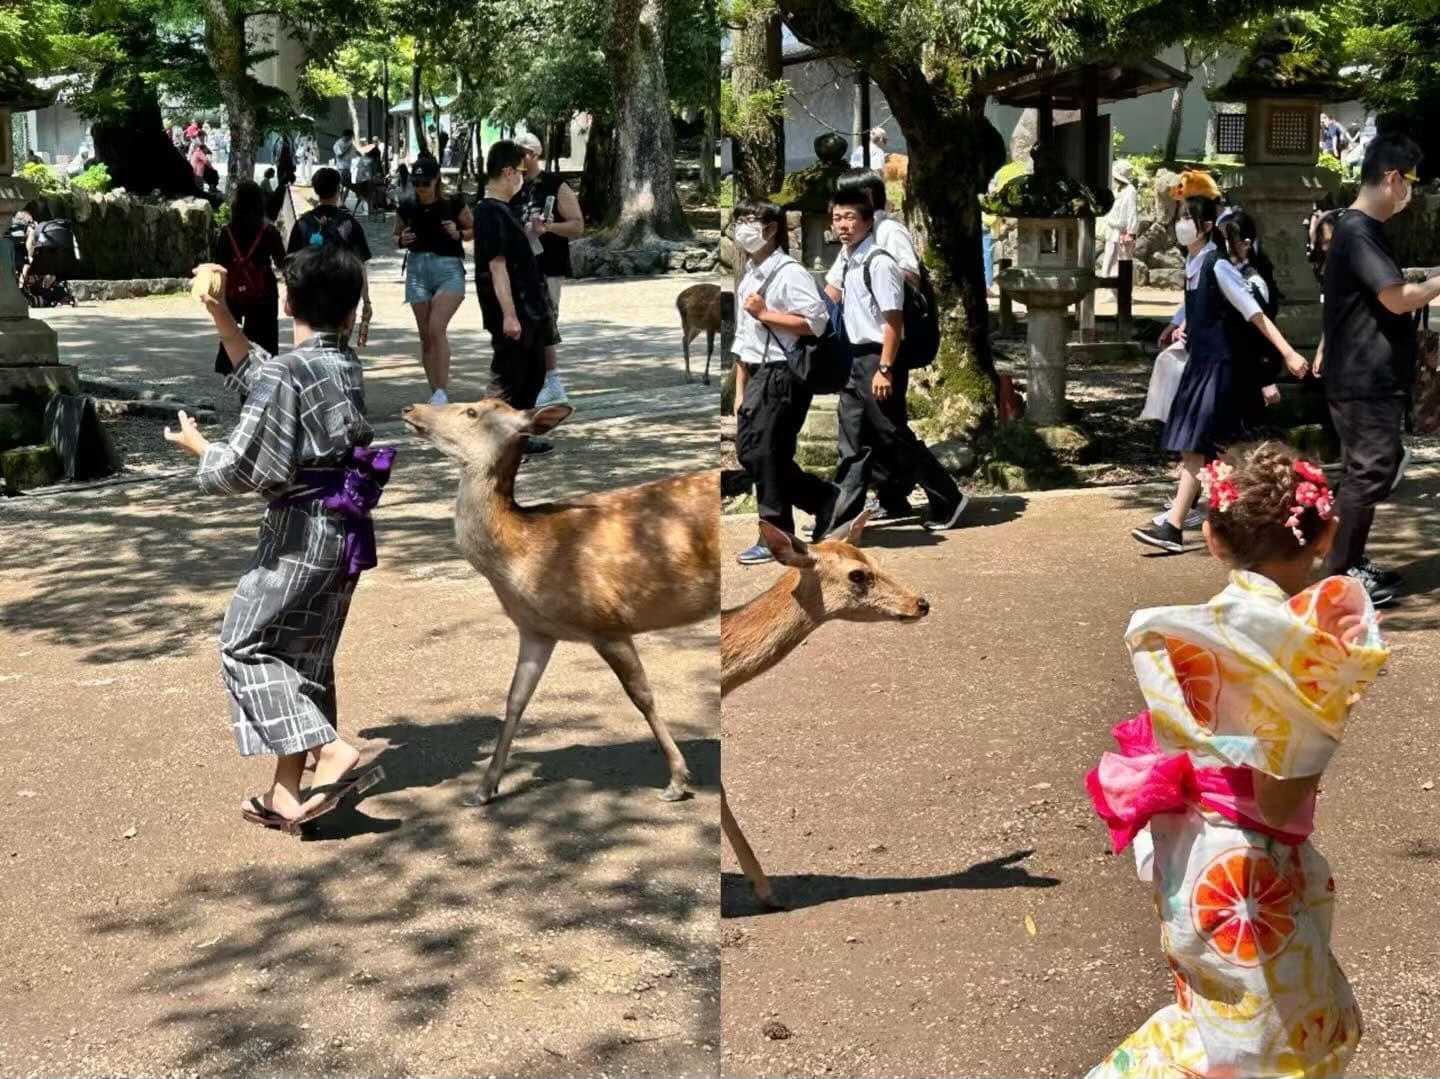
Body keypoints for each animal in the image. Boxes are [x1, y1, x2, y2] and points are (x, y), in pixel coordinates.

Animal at [401, 399, 720, 805]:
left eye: (471, 412)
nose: (411, 408)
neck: (521, 557)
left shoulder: (605, 620)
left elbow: (642, 695)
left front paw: (677, 781)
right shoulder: (536, 630)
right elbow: (515, 700)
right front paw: (483, 789)